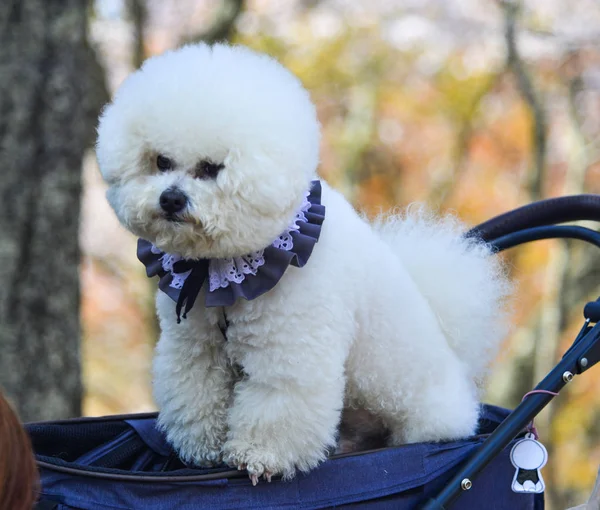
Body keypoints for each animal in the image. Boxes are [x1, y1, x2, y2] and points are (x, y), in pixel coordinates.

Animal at [96, 42, 512, 482]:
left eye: (211, 168)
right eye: (160, 161)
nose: (171, 199)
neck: (221, 266)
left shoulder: (290, 347)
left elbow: (278, 402)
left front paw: (259, 458)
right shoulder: (196, 344)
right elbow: (197, 390)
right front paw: (201, 450)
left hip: (418, 414)